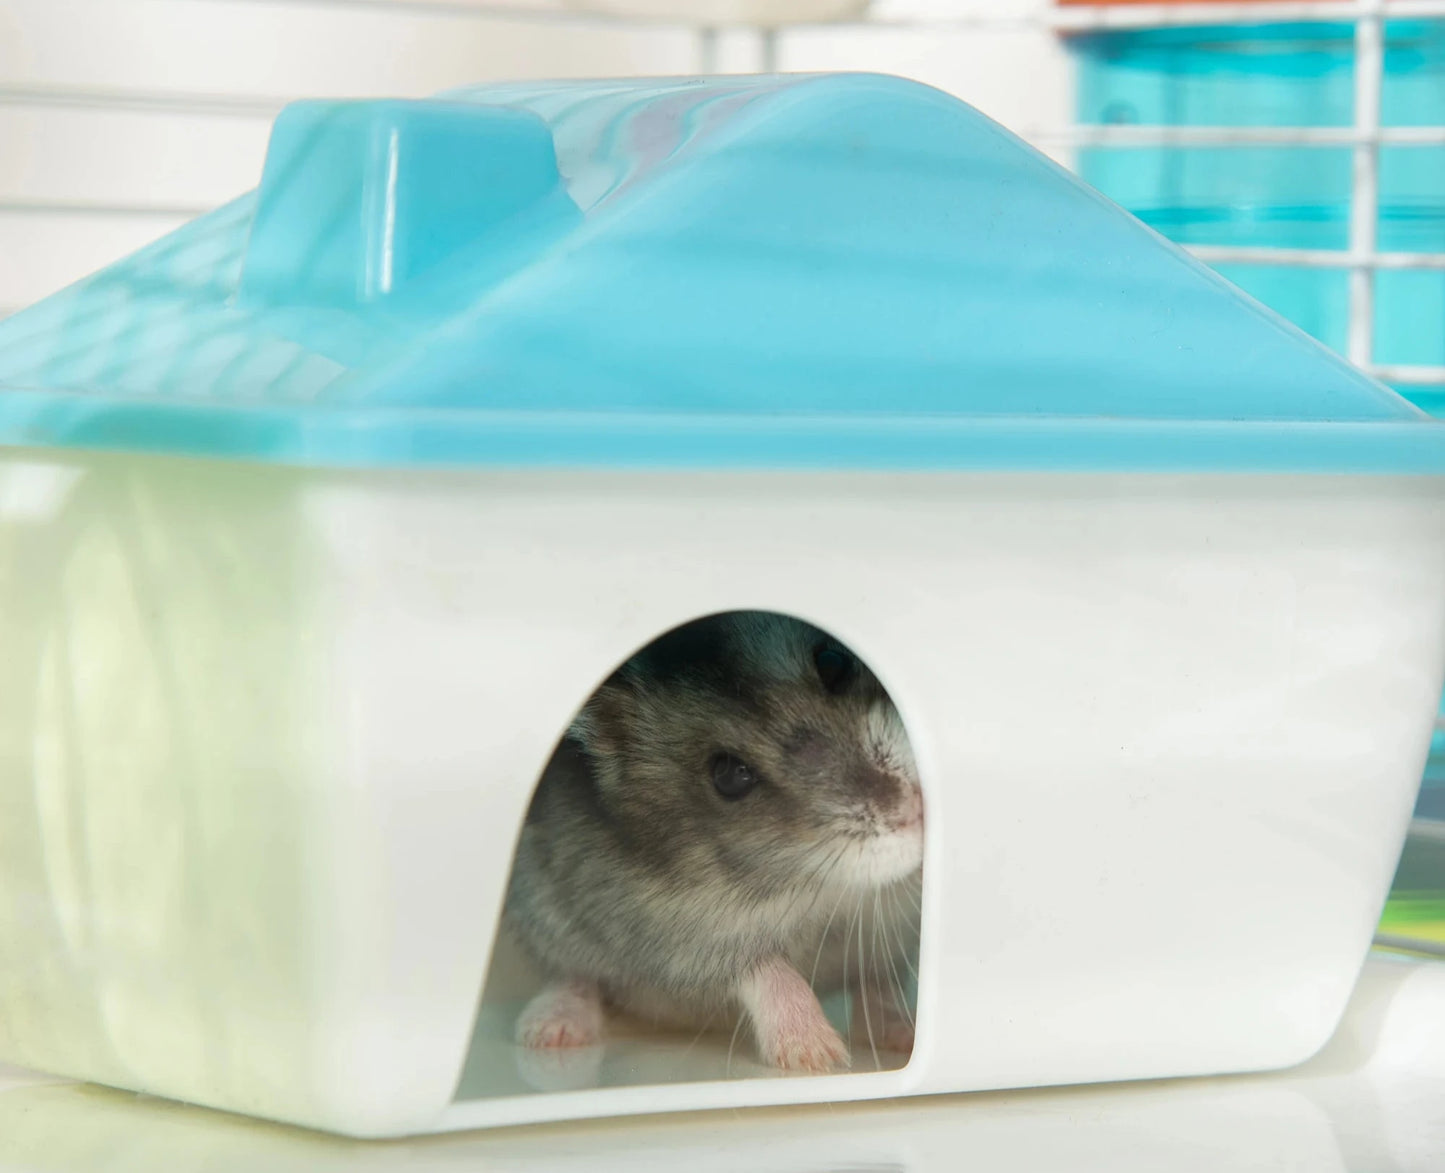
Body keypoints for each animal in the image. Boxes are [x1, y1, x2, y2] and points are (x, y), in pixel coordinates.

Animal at [503, 611, 924, 1072]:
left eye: (834, 662)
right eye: (729, 776)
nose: (918, 810)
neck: (822, 889)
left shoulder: (900, 932)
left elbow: (880, 980)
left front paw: (901, 1037)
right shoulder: (684, 938)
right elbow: (767, 970)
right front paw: (819, 1057)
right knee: (574, 977)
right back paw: (548, 1032)